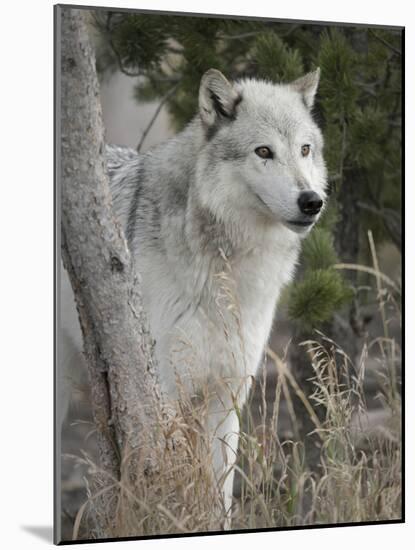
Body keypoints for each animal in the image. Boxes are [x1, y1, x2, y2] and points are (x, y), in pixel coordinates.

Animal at [61, 68, 328, 528]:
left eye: (305, 149)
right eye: (264, 151)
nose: (312, 201)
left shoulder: (228, 394)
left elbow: (221, 490)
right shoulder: (165, 391)